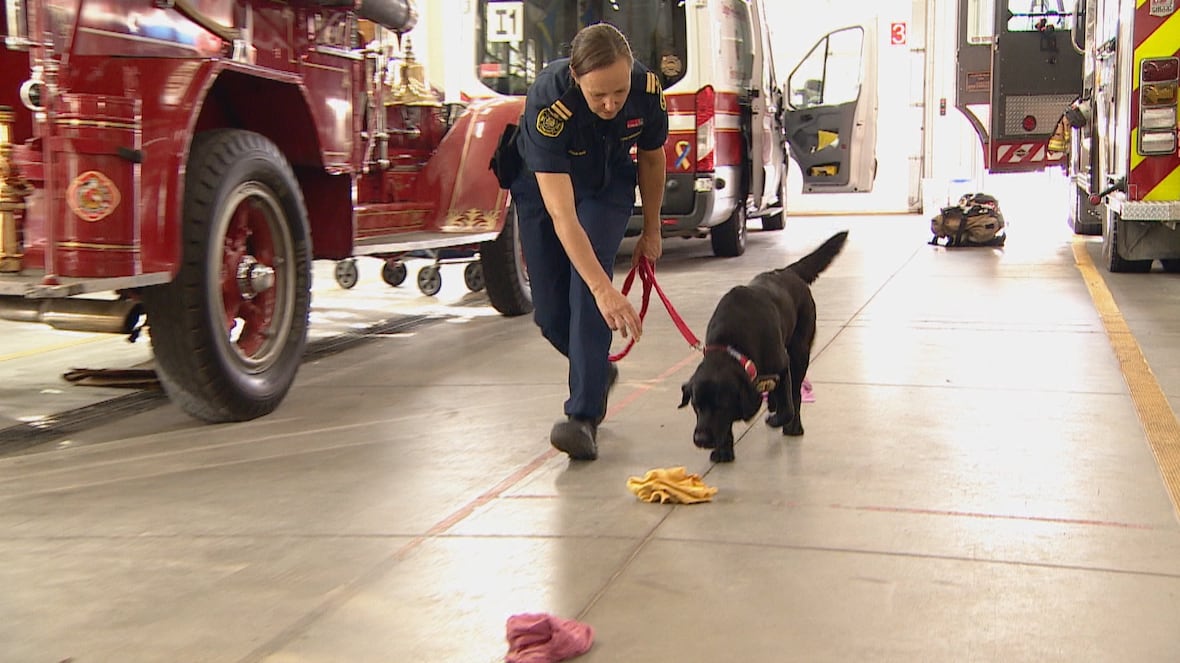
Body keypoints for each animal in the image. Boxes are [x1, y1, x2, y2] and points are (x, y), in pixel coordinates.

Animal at [684, 231, 849, 460]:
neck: (732, 345)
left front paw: (779, 419)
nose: (700, 440)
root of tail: (788, 271)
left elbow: (789, 403)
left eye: (721, 405)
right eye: (696, 405)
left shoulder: (783, 365)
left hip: (799, 352)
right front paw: (724, 449)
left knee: (795, 392)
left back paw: (792, 425)